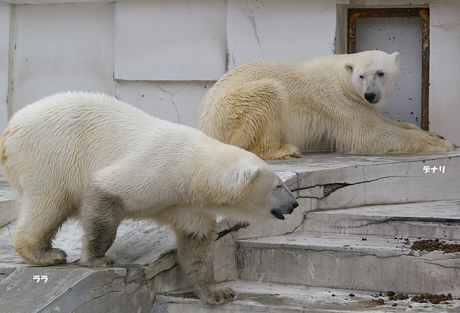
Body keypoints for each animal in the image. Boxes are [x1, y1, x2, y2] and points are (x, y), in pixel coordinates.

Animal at [0, 91, 298, 304]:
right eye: (278, 185)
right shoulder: (158, 167)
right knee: (49, 202)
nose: (294, 204)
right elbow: (104, 191)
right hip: (50, 154)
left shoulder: (190, 204)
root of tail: (10, 127)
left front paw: (217, 292)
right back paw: (46, 254)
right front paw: (97, 259)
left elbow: (196, 243)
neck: (194, 169)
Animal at [198, 51, 456, 160]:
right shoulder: (336, 101)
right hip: (231, 110)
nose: (371, 95)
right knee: (269, 95)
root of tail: (204, 126)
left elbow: (386, 122)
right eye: (362, 75)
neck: (342, 75)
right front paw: (445, 144)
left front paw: (437, 135)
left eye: (381, 73)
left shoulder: (360, 103)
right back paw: (284, 150)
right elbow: (368, 135)